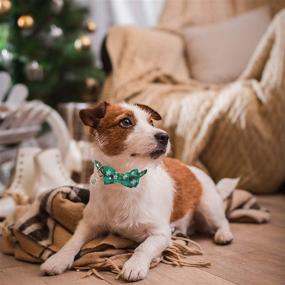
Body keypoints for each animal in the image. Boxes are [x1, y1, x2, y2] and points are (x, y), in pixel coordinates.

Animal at [40, 101, 235, 280]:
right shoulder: (88, 223)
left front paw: (134, 265)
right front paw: (58, 259)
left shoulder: (160, 233)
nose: (165, 136)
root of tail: (191, 168)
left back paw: (224, 234)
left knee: (222, 221)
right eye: (126, 122)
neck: (123, 178)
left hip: (209, 206)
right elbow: (72, 241)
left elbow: (143, 247)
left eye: (152, 122)